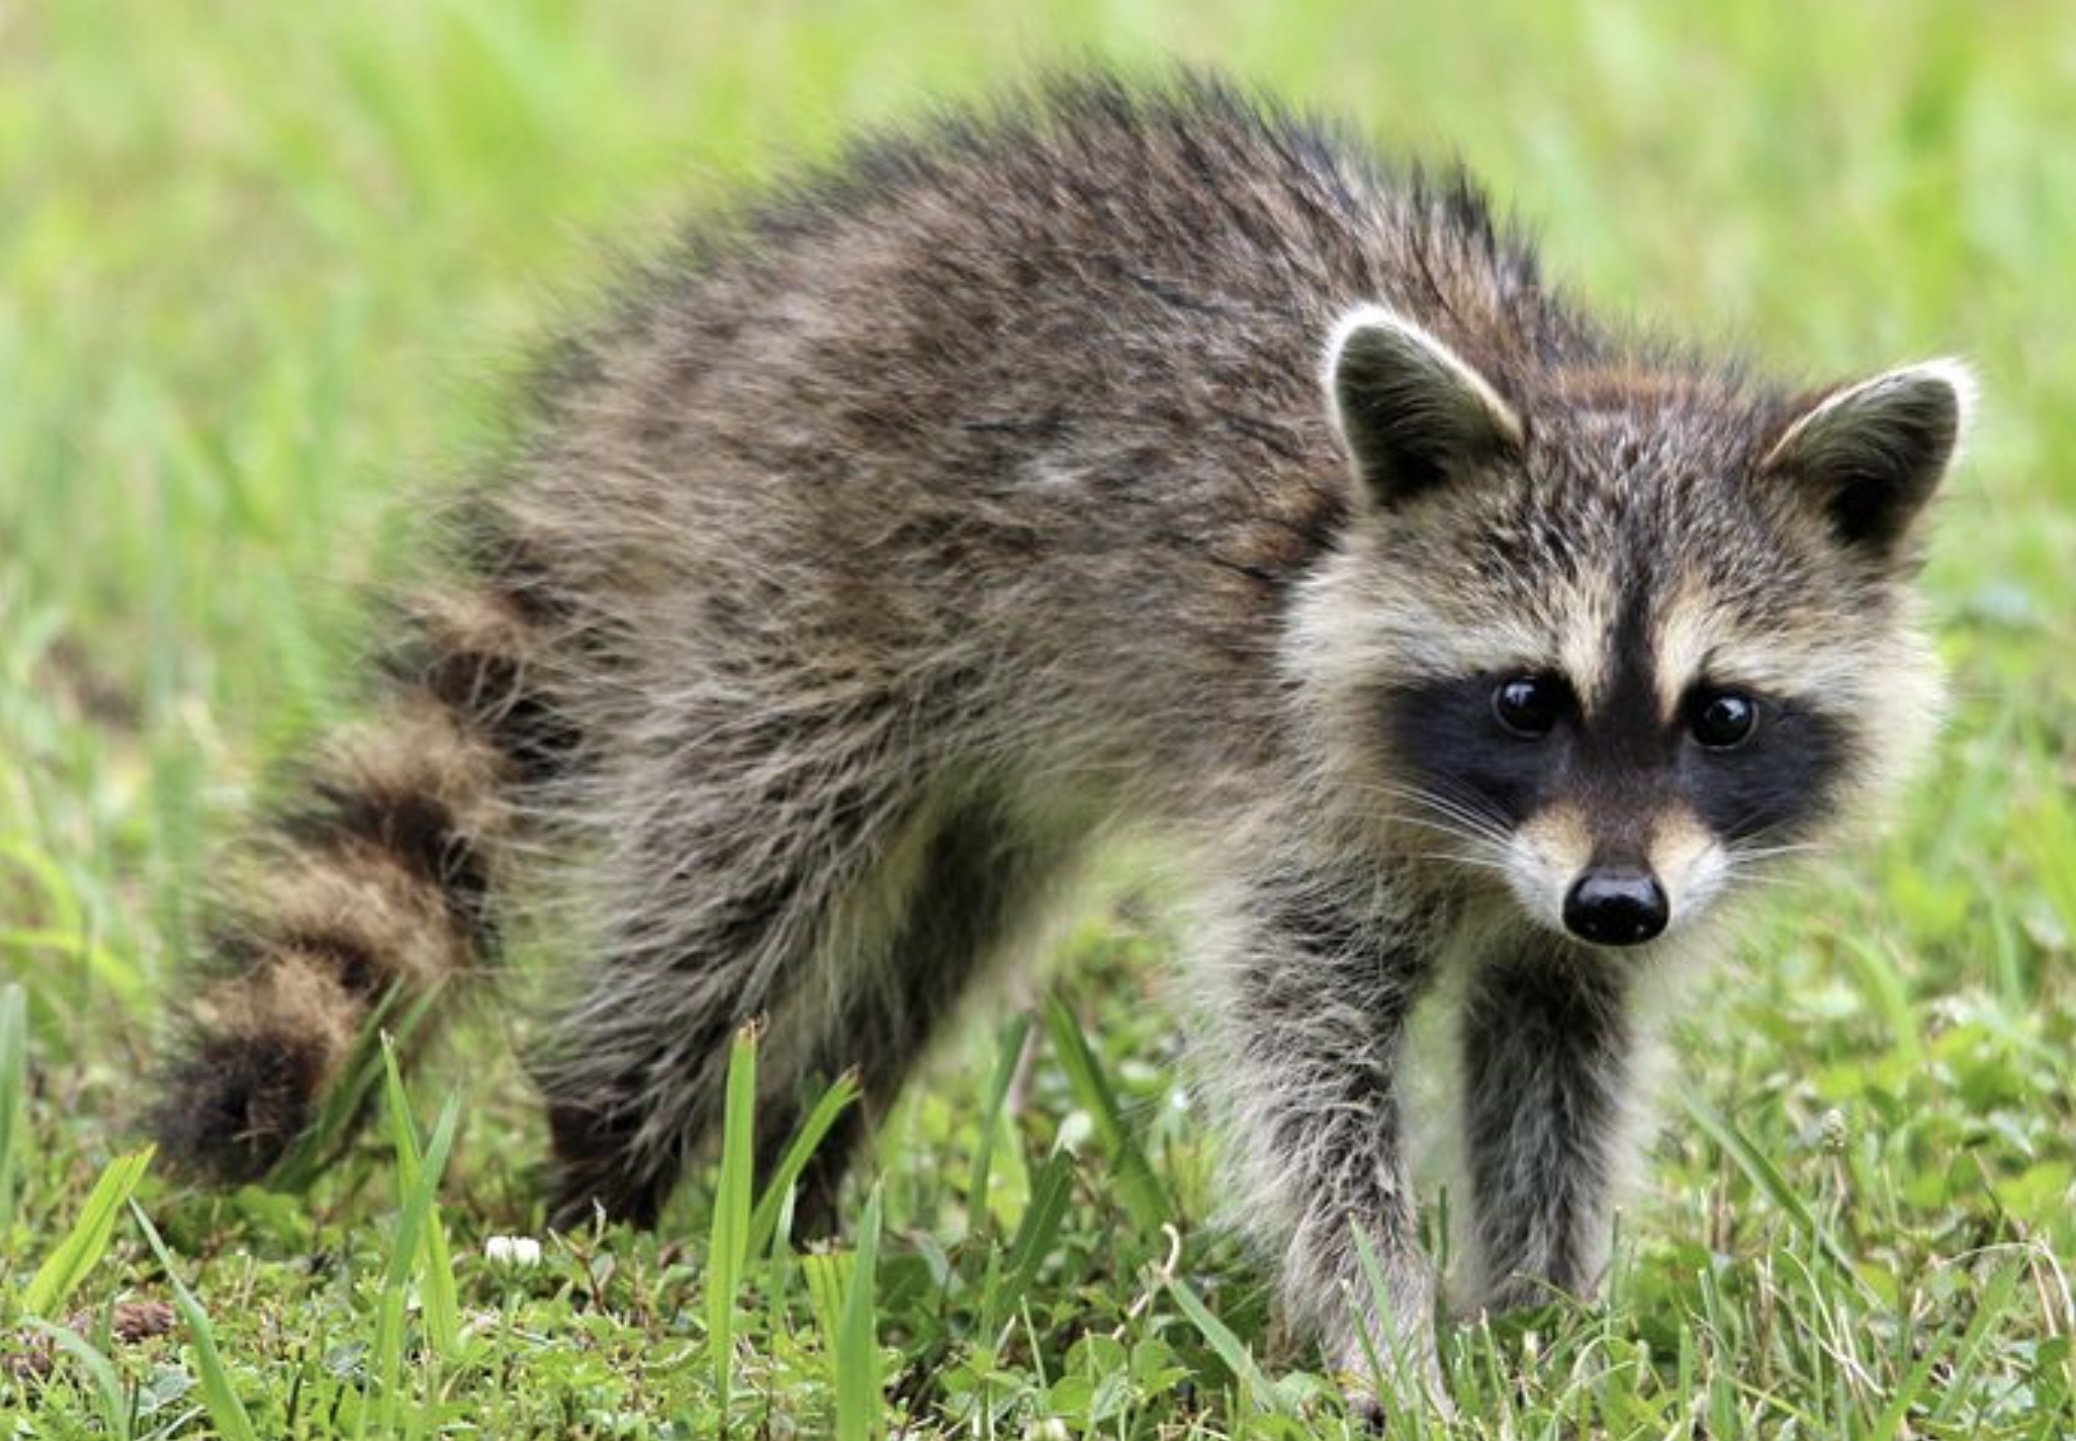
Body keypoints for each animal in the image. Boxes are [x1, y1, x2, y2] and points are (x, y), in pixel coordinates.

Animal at [150, 73, 1970, 1388]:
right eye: (1528, 698)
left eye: (1721, 715)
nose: (1619, 901)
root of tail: (743, 308)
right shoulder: (1304, 808)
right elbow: (1305, 1068)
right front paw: (1388, 1331)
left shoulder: (1589, 899)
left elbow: (1557, 1057)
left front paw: (1542, 1316)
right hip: (806, 578)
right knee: (732, 876)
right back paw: (614, 1164)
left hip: (982, 750)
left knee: (929, 937)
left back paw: (795, 1167)